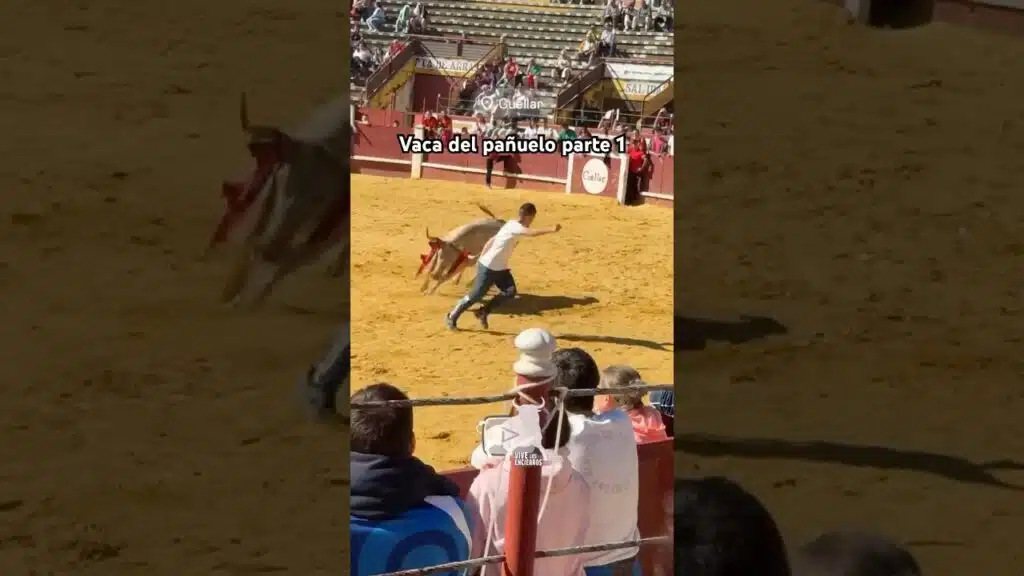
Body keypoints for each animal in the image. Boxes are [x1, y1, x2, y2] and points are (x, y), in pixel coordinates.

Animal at [214, 92, 349, 306]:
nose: (270, 250)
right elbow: (253, 245)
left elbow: (287, 264)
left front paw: (248, 303)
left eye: (320, 198)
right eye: (283, 180)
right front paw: (229, 296)